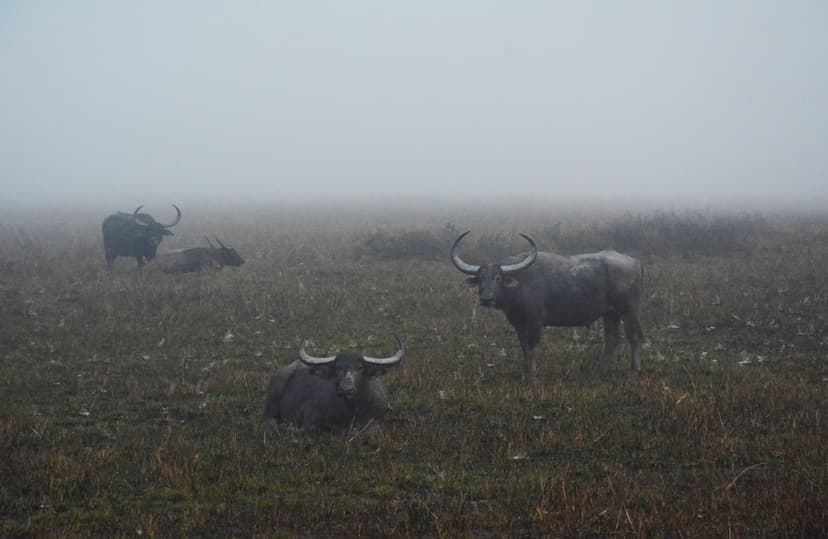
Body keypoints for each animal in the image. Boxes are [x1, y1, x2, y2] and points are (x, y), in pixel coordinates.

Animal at [264, 337, 405, 433]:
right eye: (336, 368)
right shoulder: (309, 414)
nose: (345, 389)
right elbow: (308, 428)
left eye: (360, 367)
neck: (353, 410)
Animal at [451, 231, 643, 380]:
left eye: (497, 278)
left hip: (629, 310)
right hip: (610, 313)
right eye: (480, 279)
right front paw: (525, 372)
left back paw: (634, 371)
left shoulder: (535, 322)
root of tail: (634, 262)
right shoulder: (519, 324)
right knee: (612, 339)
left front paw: (531, 376)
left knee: (634, 337)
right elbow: (523, 347)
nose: (486, 299)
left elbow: (532, 347)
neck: (520, 284)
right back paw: (600, 370)